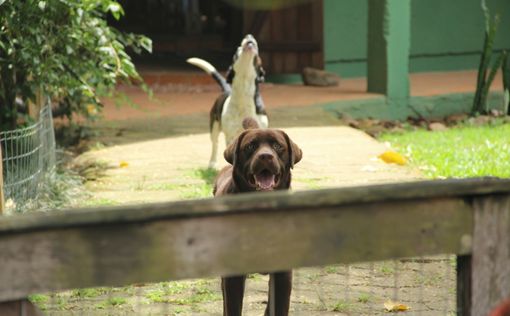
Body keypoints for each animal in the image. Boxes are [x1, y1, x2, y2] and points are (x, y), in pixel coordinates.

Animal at [186, 34, 266, 168]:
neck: (244, 94)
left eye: (258, 54)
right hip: (214, 126)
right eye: (237, 51)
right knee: (215, 144)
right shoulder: (231, 137)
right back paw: (212, 163)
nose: (249, 36)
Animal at [212, 119, 300, 316]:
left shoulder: (283, 273)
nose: (265, 156)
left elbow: (279, 306)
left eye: (277, 146)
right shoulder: (234, 274)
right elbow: (233, 306)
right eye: (250, 146)